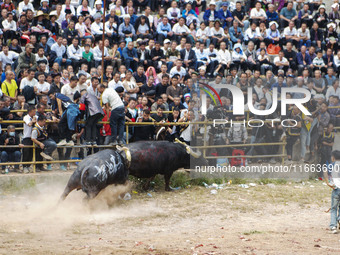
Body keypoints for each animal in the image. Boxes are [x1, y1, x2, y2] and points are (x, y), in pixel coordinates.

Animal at [60, 140, 207, 200]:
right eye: (199, 159)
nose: (206, 163)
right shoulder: (168, 170)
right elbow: (167, 181)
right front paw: (169, 189)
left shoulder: (154, 171)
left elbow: (151, 178)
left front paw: (146, 187)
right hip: (93, 190)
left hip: (71, 183)